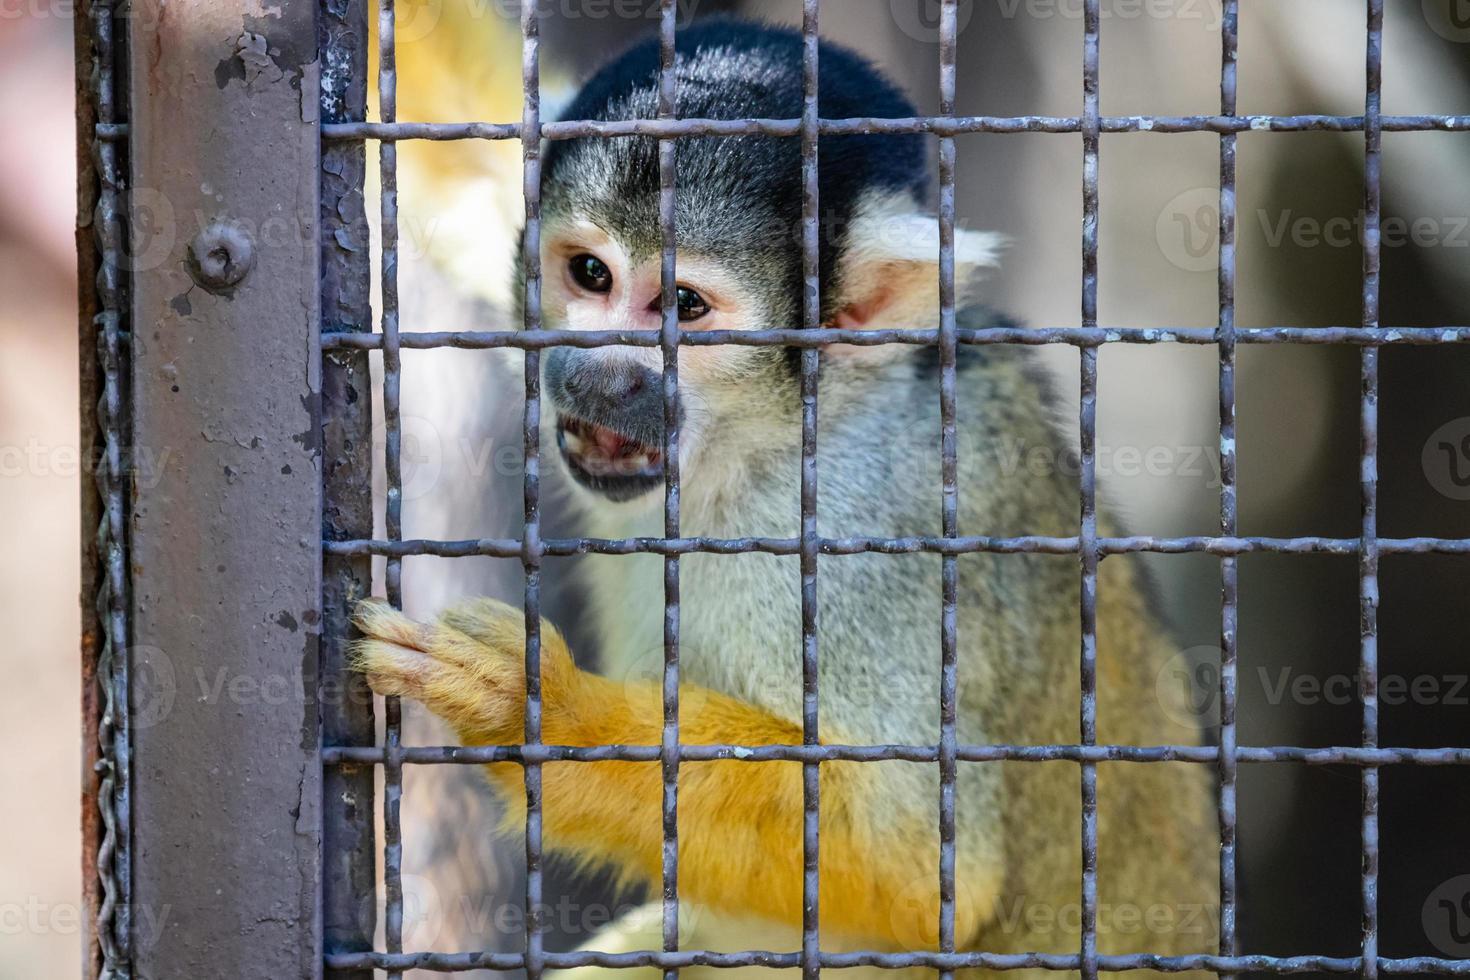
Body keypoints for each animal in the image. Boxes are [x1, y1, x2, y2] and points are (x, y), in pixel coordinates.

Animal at [355, 17, 1217, 980]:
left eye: (682, 304)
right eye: (589, 274)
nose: (595, 375)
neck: (754, 455)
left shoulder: (867, 539)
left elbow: (917, 864)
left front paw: (537, 708)